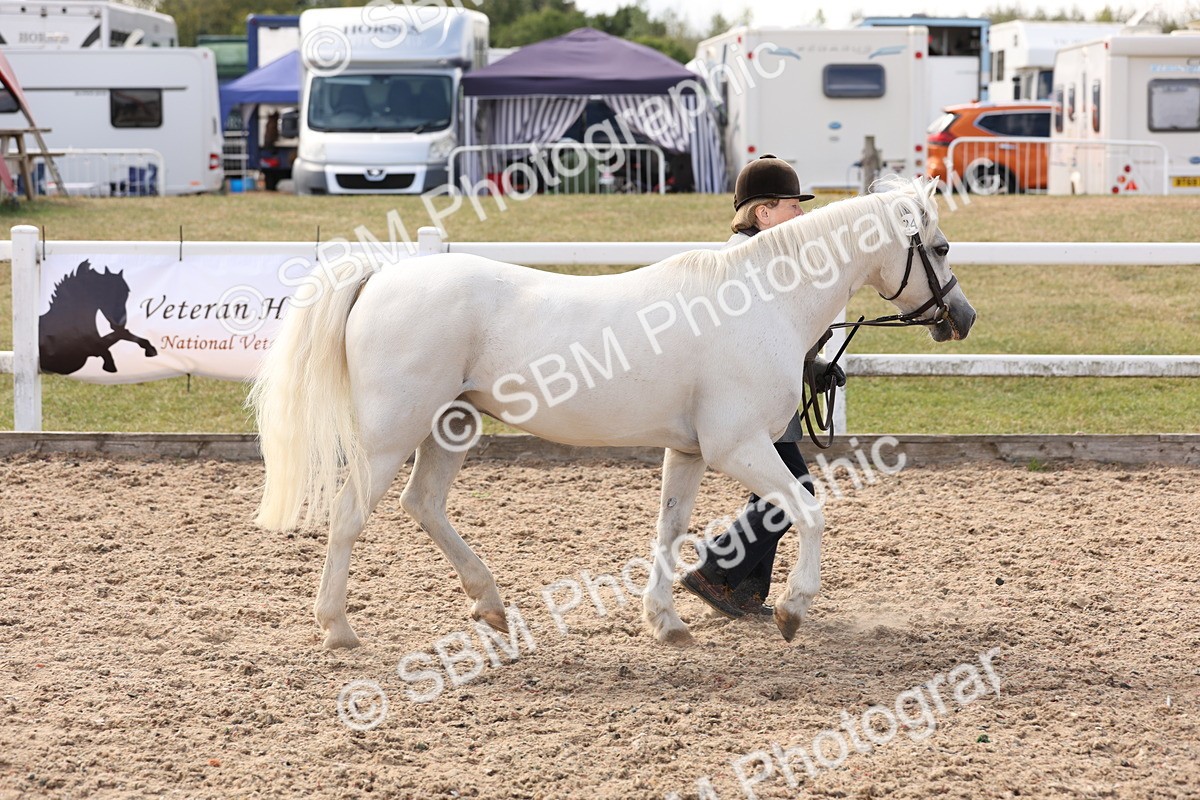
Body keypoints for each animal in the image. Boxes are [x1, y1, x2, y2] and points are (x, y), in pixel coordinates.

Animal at [250, 176, 976, 649]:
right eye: (940, 248)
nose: (963, 318)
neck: (761, 298)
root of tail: (381, 276)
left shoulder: (690, 451)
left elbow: (670, 529)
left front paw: (668, 623)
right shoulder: (737, 447)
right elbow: (808, 510)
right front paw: (792, 611)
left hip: (450, 425)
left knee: (422, 504)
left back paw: (491, 607)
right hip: (389, 434)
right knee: (351, 515)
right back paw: (338, 628)